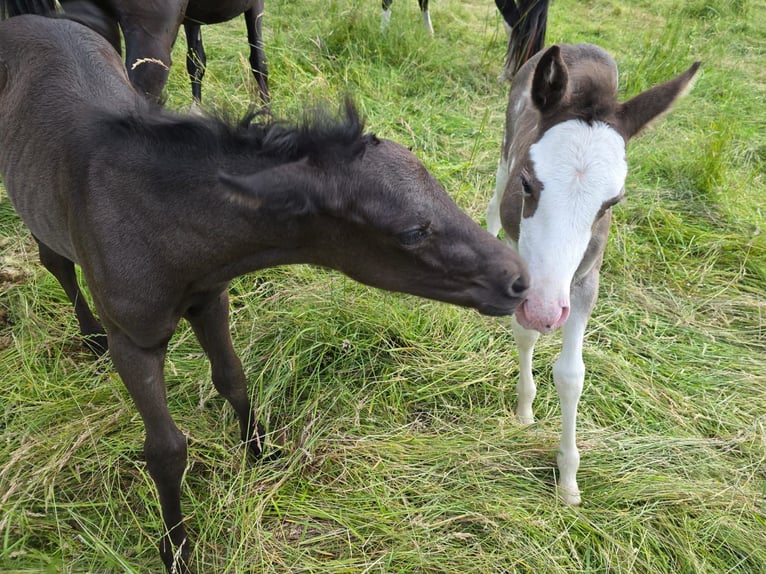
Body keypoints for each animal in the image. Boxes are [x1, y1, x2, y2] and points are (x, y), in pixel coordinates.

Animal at [0, 12, 528, 572]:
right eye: (411, 232)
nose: (518, 279)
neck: (160, 216)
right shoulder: (135, 341)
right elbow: (165, 449)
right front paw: (176, 548)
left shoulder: (210, 297)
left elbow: (233, 378)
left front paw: (261, 453)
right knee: (56, 261)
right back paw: (89, 336)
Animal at [486, 1, 700, 505]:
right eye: (529, 184)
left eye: (612, 202)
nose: (546, 312)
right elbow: (522, 333)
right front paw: (524, 412)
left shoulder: (584, 281)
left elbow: (571, 374)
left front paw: (568, 480)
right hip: (503, 149)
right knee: (489, 197)